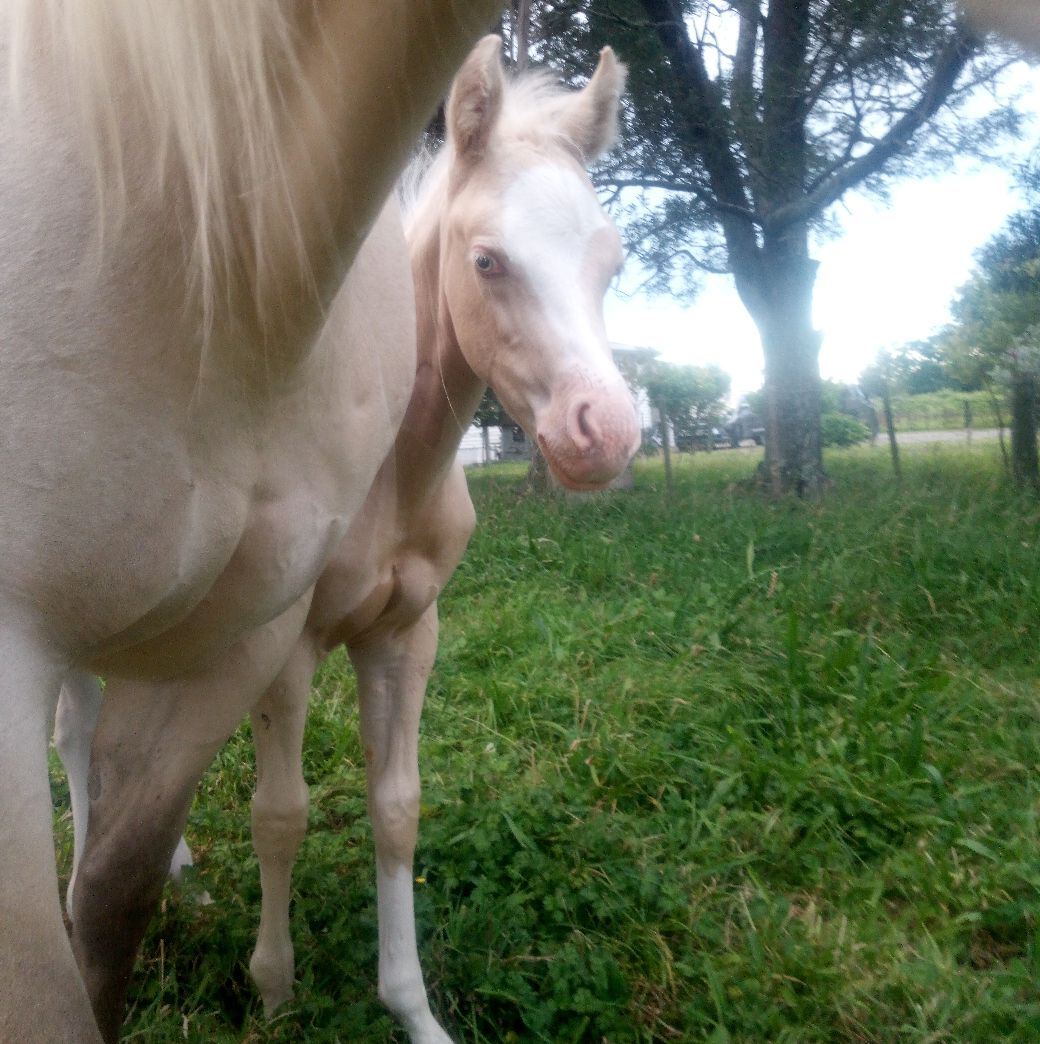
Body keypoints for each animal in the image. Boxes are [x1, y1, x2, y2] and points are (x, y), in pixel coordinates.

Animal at [56, 35, 638, 1043]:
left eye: (609, 256)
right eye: (488, 260)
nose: (603, 433)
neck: (393, 479)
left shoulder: (405, 635)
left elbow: (397, 807)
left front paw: (413, 1008)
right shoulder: (284, 645)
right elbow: (280, 813)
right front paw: (274, 984)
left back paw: (175, 876)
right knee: (69, 739)